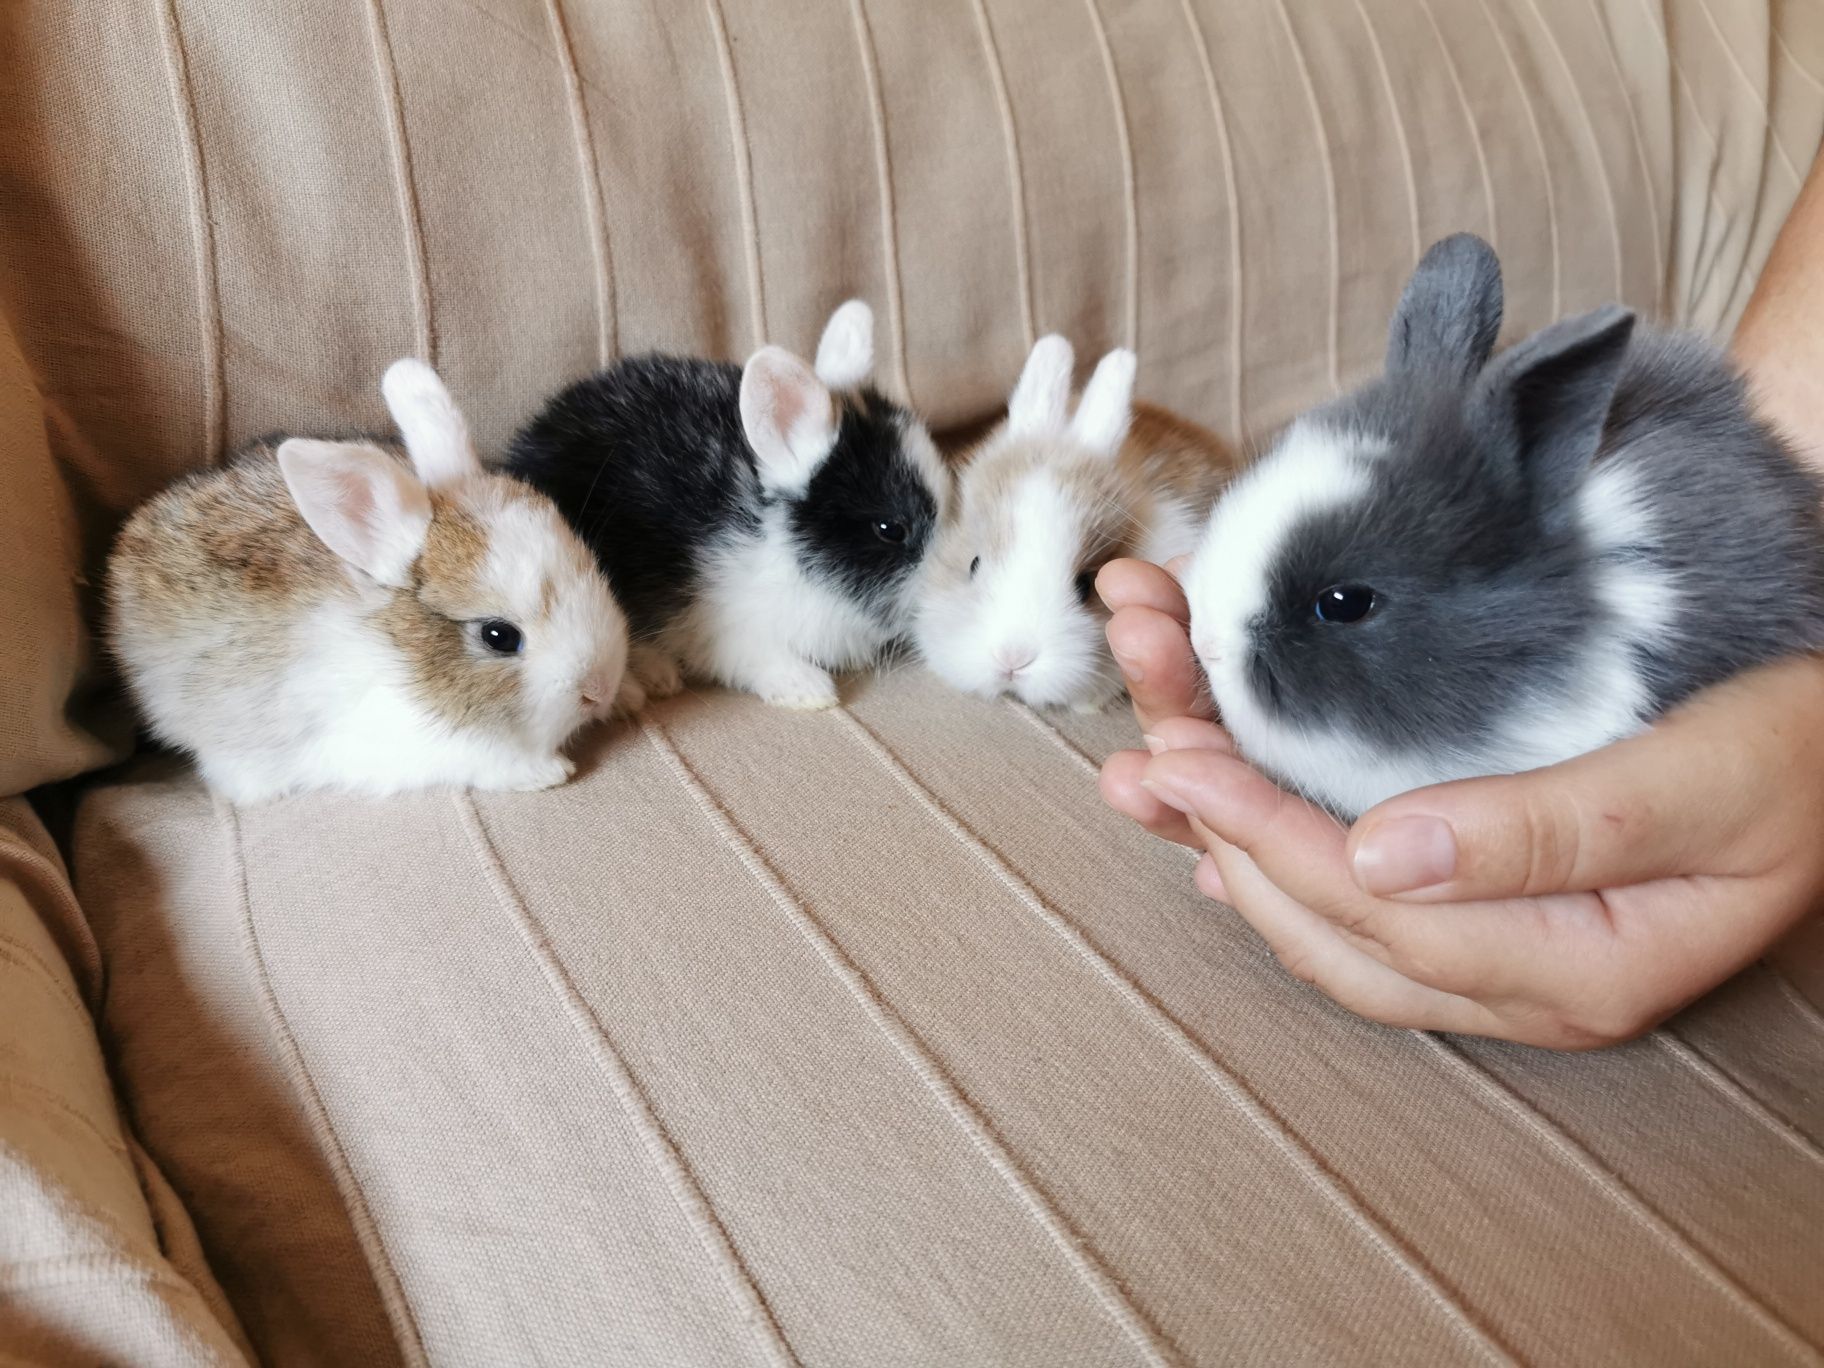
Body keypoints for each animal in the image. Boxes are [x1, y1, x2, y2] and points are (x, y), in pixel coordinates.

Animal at [507, 304, 948, 711]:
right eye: (891, 529)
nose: (942, 585)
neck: (779, 549)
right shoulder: (726, 632)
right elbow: (759, 658)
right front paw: (810, 690)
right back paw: (655, 677)